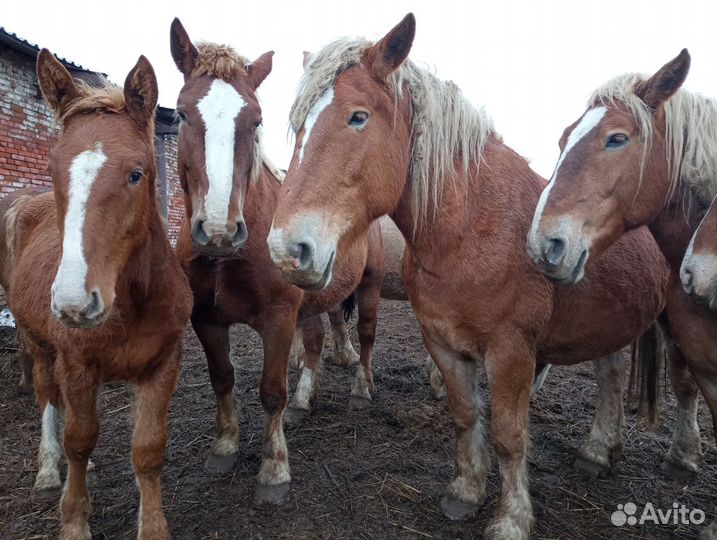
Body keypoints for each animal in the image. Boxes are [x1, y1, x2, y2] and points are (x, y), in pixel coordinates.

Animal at [4, 51, 193, 540]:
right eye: (53, 170)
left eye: (136, 173)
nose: (75, 302)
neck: (132, 304)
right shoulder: (75, 365)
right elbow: (79, 440)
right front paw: (73, 520)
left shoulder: (163, 364)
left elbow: (147, 447)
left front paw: (153, 526)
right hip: (38, 344)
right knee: (47, 397)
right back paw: (47, 469)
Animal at [168, 20, 384, 502]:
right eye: (182, 114)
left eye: (256, 120)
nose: (219, 229)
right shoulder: (205, 319)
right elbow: (223, 378)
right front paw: (224, 447)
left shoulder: (279, 317)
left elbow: (271, 391)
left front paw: (273, 469)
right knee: (317, 341)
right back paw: (306, 400)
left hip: (370, 286)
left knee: (364, 336)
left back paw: (361, 390)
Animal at [266, 13, 676, 540]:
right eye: (298, 125)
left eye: (357, 116)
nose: (286, 249)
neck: (470, 230)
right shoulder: (443, 342)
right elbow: (465, 416)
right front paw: (464, 492)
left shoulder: (511, 352)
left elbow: (508, 435)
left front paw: (511, 518)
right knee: (610, 373)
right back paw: (598, 451)